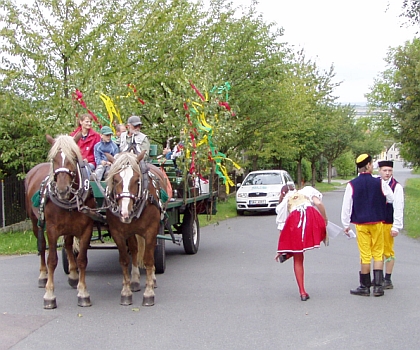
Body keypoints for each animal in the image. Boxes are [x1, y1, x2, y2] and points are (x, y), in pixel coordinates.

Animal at [25, 135, 96, 308]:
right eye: (54, 159)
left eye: (73, 158)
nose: (62, 190)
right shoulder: (52, 229)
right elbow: (52, 260)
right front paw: (49, 295)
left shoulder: (86, 228)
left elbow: (82, 259)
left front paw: (83, 292)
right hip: (35, 221)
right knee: (42, 246)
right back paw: (43, 276)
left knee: (69, 245)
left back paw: (73, 275)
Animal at [104, 152, 167, 304]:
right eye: (115, 180)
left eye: (137, 180)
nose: (124, 213)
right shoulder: (117, 233)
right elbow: (124, 260)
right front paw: (126, 292)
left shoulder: (151, 230)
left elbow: (148, 259)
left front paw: (149, 293)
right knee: (134, 249)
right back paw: (135, 280)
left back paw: (152, 280)